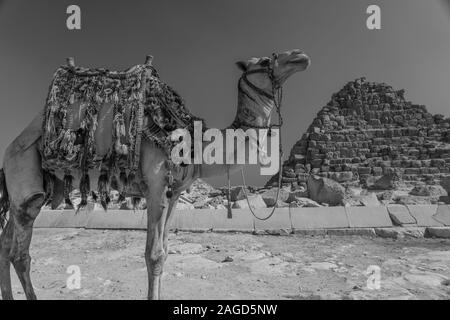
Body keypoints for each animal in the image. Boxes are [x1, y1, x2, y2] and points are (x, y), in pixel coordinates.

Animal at [0, 48, 310, 300]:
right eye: (267, 60)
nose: (300, 56)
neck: (196, 143)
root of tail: (8, 153)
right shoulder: (157, 187)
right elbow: (154, 255)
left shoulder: (174, 194)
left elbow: (166, 251)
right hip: (25, 177)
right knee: (20, 254)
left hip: (29, 191)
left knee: (5, 244)